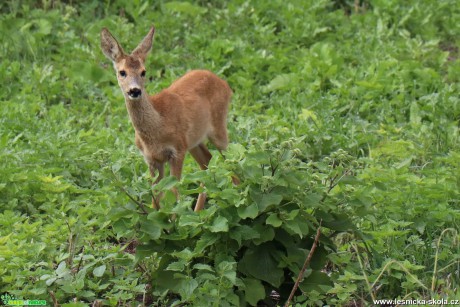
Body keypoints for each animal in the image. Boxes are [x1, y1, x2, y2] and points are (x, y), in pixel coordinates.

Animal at [102, 26, 235, 213]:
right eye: (122, 72)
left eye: (143, 72)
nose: (135, 91)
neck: (157, 127)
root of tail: (225, 84)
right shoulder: (152, 159)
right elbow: (155, 197)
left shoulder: (177, 151)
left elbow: (174, 191)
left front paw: (177, 218)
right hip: (193, 142)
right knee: (206, 162)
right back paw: (198, 212)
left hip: (218, 128)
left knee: (232, 160)